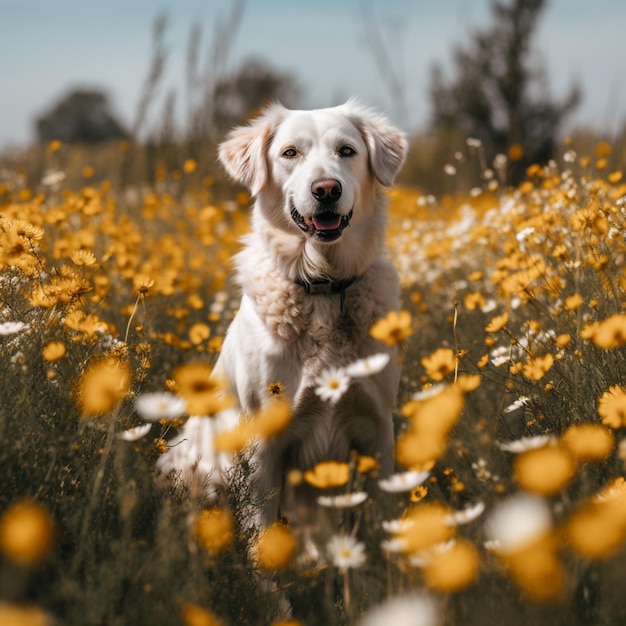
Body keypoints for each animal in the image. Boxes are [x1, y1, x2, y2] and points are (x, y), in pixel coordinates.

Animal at [158, 101, 408, 520]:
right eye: (290, 153)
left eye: (347, 151)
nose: (326, 189)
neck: (323, 287)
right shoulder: (262, 445)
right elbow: (262, 530)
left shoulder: (377, 430)